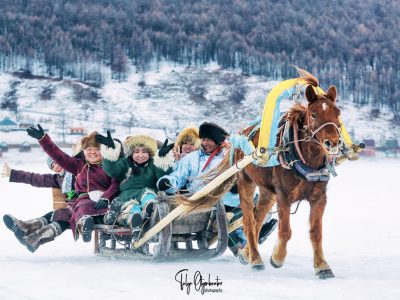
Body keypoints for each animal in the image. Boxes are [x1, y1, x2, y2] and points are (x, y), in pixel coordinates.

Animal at [180, 69, 340, 280]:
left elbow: (316, 232)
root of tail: (242, 135)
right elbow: (285, 231)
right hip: (246, 182)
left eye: (337, 112)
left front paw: (322, 266)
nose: (333, 142)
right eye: (313, 114)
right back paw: (255, 259)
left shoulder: (319, 196)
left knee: (257, 217)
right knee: (248, 220)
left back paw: (247, 252)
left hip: (267, 191)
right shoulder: (284, 196)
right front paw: (277, 257)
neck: (303, 158)